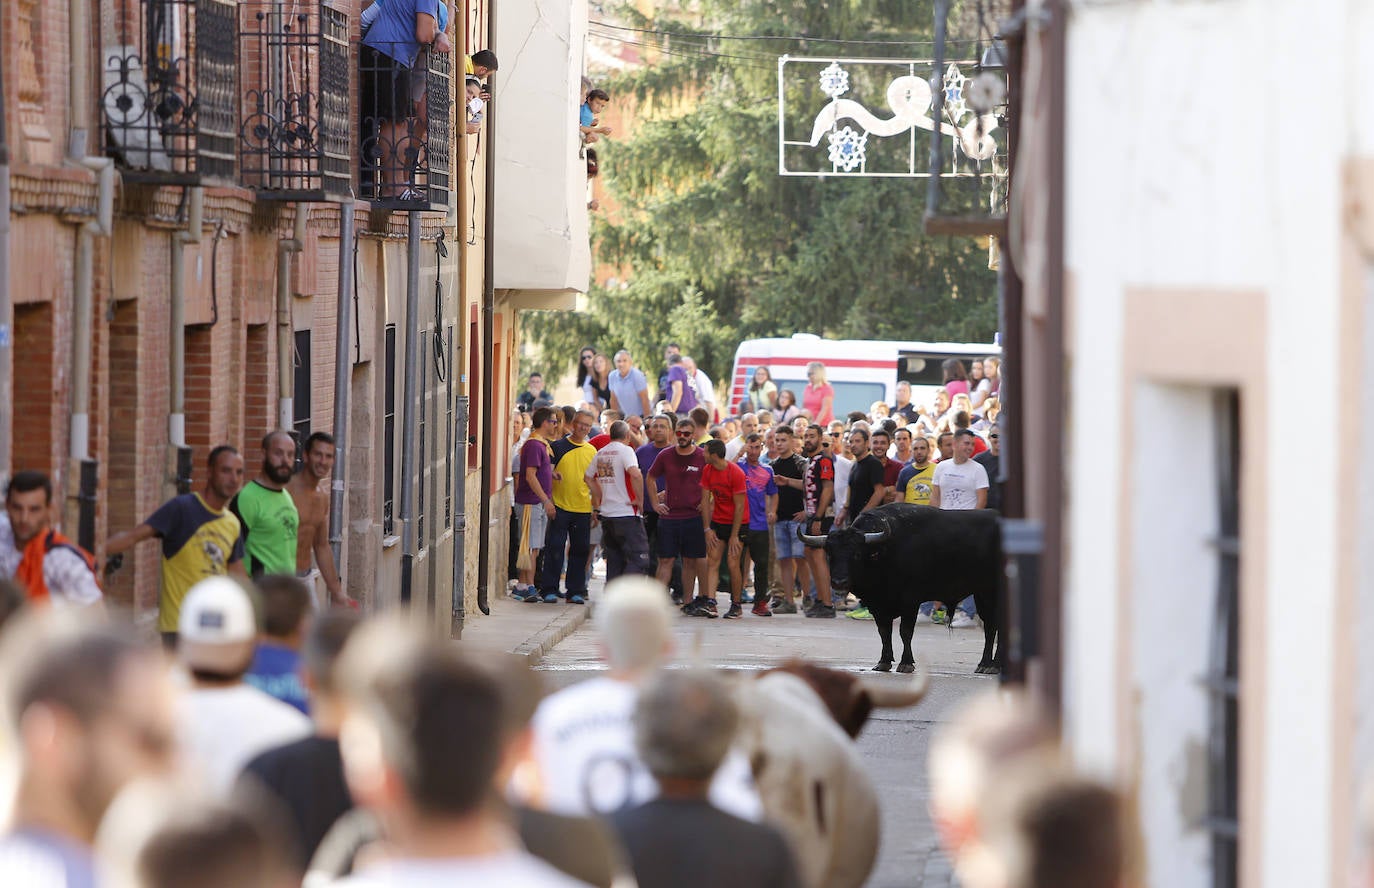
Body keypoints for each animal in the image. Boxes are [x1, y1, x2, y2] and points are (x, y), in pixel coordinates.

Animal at [802, 508, 1005, 676]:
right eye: (830, 554)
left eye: (857, 554)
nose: (839, 582)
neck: (885, 552)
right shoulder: (878, 605)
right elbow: (884, 632)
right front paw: (883, 662)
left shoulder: (910, 601)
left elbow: (905, 631)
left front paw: (906, 663)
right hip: (982, 593)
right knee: (991, 626)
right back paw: (985, 664)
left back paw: (994, 665)